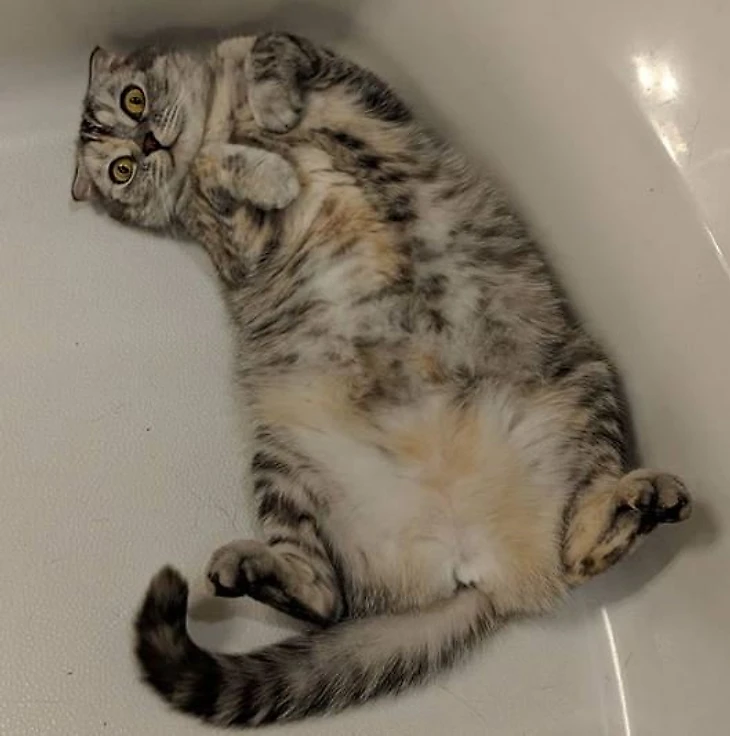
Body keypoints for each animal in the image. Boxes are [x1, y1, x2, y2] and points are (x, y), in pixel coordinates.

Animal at [72, 31, 692, 728]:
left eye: (134, 101)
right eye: (122, 170)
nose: (149, 142)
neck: (221, 124)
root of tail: (472, 567)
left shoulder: (354, 83)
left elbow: (270, 48)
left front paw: (271, 109)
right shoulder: (239, 248)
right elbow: (214, 176)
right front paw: (267, 170)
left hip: (582, 373)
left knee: (574, 549)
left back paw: (640, 499)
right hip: (282, 458)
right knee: (328, 599)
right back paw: (245, 569)